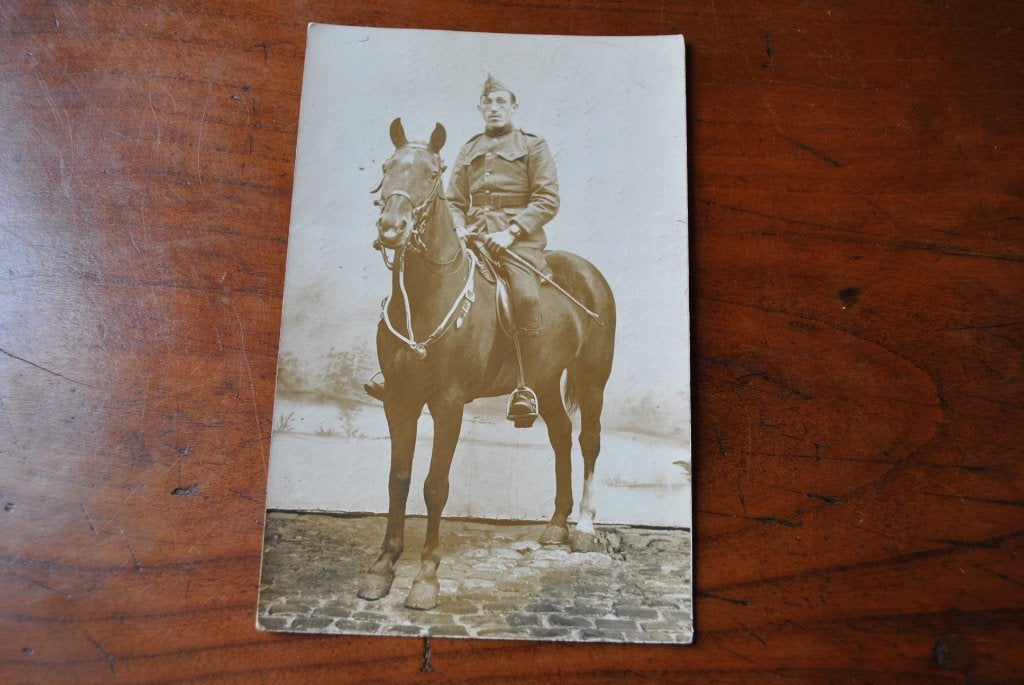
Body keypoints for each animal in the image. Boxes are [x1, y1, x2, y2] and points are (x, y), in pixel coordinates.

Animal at [357, 118, 616, 610]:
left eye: (433, 172)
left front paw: (426, 578)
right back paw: (557, 523)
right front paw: (382, 567)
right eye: (385, 167)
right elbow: (398, 479)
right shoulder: (399, 400)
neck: (426, 295)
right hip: (545, 380)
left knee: (588, 441)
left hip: (592, 379)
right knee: (559, 434)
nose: (391, 227)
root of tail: (590, 273)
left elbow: (435, 486)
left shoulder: (448, 404)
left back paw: (585, 527)